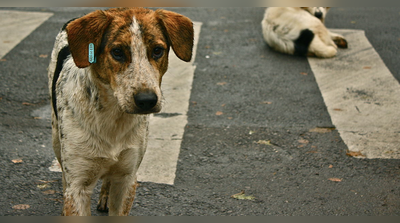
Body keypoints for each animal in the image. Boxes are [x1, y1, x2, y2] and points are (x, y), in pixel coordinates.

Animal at [47, 7, 195, 216]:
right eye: (117, 52)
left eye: (157, 50)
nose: (147, 100)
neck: (113, 117)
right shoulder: (78, 185)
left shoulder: (127, 178)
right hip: (56, 138)